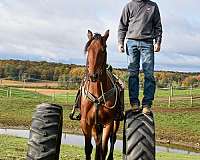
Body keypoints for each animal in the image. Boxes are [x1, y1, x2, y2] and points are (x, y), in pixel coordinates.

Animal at [79, 30, 120, 160]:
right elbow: (89, 148)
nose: (93, 76)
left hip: (115, 123)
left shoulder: (108, 123)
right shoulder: (86, 123)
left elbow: (103, 148)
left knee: (112, 140)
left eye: (103, 49)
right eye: (88, 49)